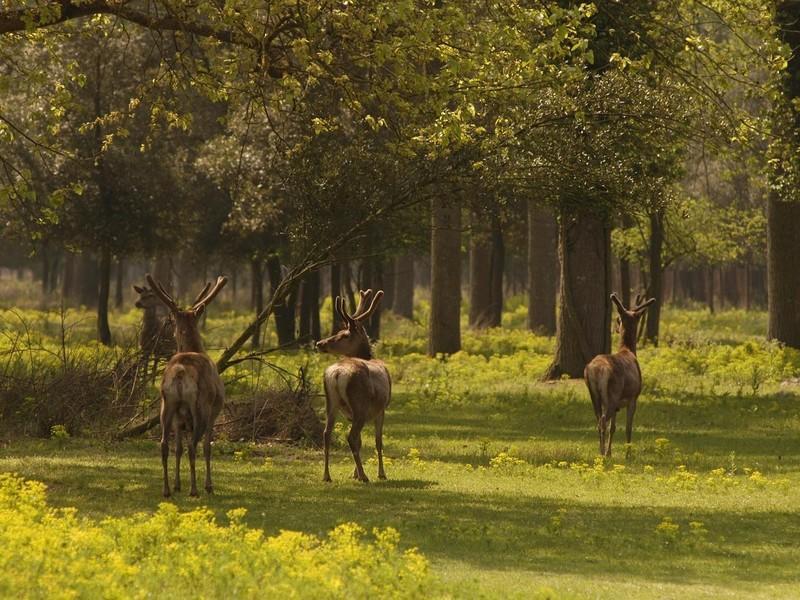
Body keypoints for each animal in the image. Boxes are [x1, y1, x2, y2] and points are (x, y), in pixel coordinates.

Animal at [145, 274, 228, 496]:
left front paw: (176, 484)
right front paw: (208, 485)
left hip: (166, 404)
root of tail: (180, 372)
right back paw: (195, 489)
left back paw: (166, 489)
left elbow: (178, 449)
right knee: (194, 446)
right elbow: (207, 447)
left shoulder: (178, 420)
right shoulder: (215, 411)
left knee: (164, 445)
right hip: (200, 406)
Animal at [318, 290, 394, 482]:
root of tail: (337, 373)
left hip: (331, 402)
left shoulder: (351, 415)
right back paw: (365, 477)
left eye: (344, 334)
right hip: (360, 403)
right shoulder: (381, 408)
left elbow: (360, 442)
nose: (320, 343)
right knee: (351, 437)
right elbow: (377, 441)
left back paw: (326, 475)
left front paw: (354, 473)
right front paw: (380, 473)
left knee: (327, 433)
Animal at [580, 292, 656, 458]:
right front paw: (628, 454)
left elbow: (613, 427)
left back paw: (601, 452)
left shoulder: (617, 406)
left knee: (598, 421)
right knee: (602, 421)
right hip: (612, 394)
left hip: (594, 395)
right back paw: (602, 453)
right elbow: (628, 427)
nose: (615, 328)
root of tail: (596, 370)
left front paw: (610, 453)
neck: (628, 350)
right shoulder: (633, 397)